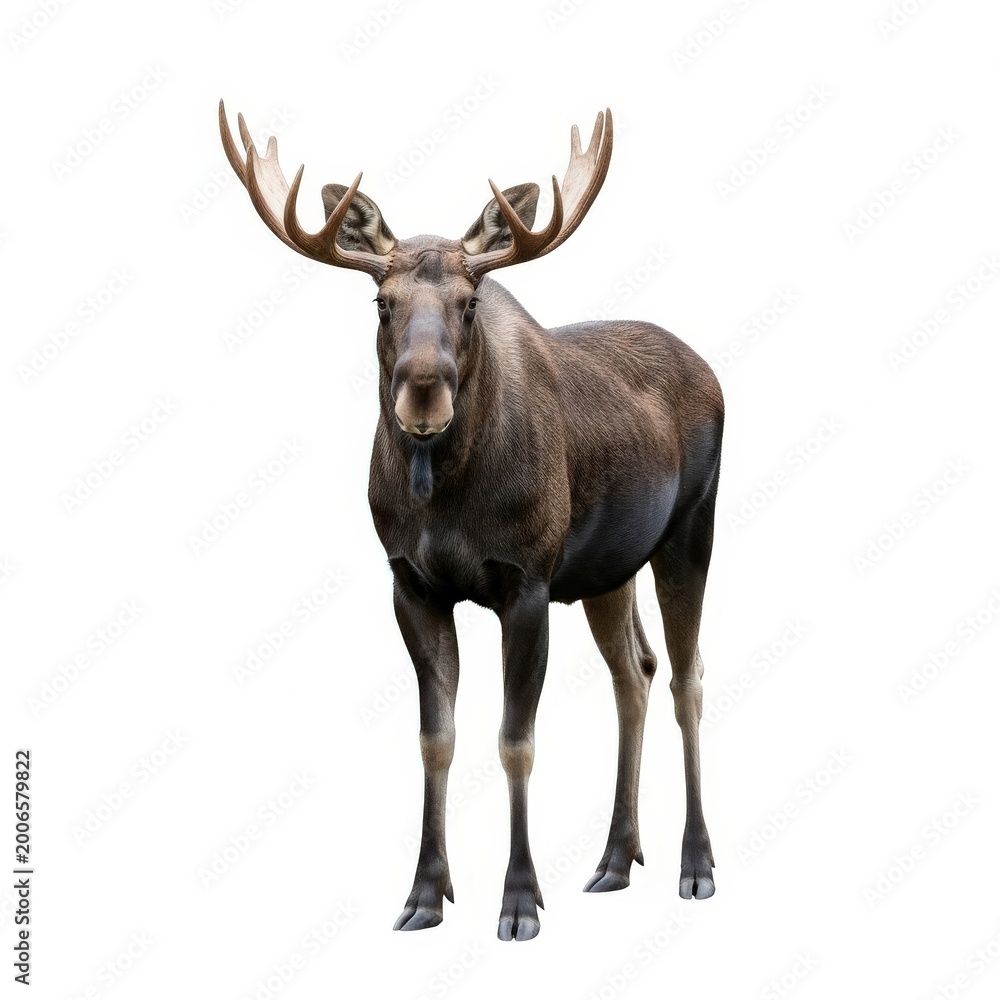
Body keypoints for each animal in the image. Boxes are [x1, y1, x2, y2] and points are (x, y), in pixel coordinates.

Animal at [219, 100, 724, 941]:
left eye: (470, 302)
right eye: (382, 303)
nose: (423, 389)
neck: (447, 500)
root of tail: (711, 369)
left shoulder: (527, 583)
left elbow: (515, 742)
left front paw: (519, 900)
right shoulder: (412, 584)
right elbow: (436, 739)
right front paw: (425, 893)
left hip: (691, 531)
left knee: (688, 678)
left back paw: (696, 864)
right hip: (607, 570)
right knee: (636, 672)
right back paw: (616, 859)